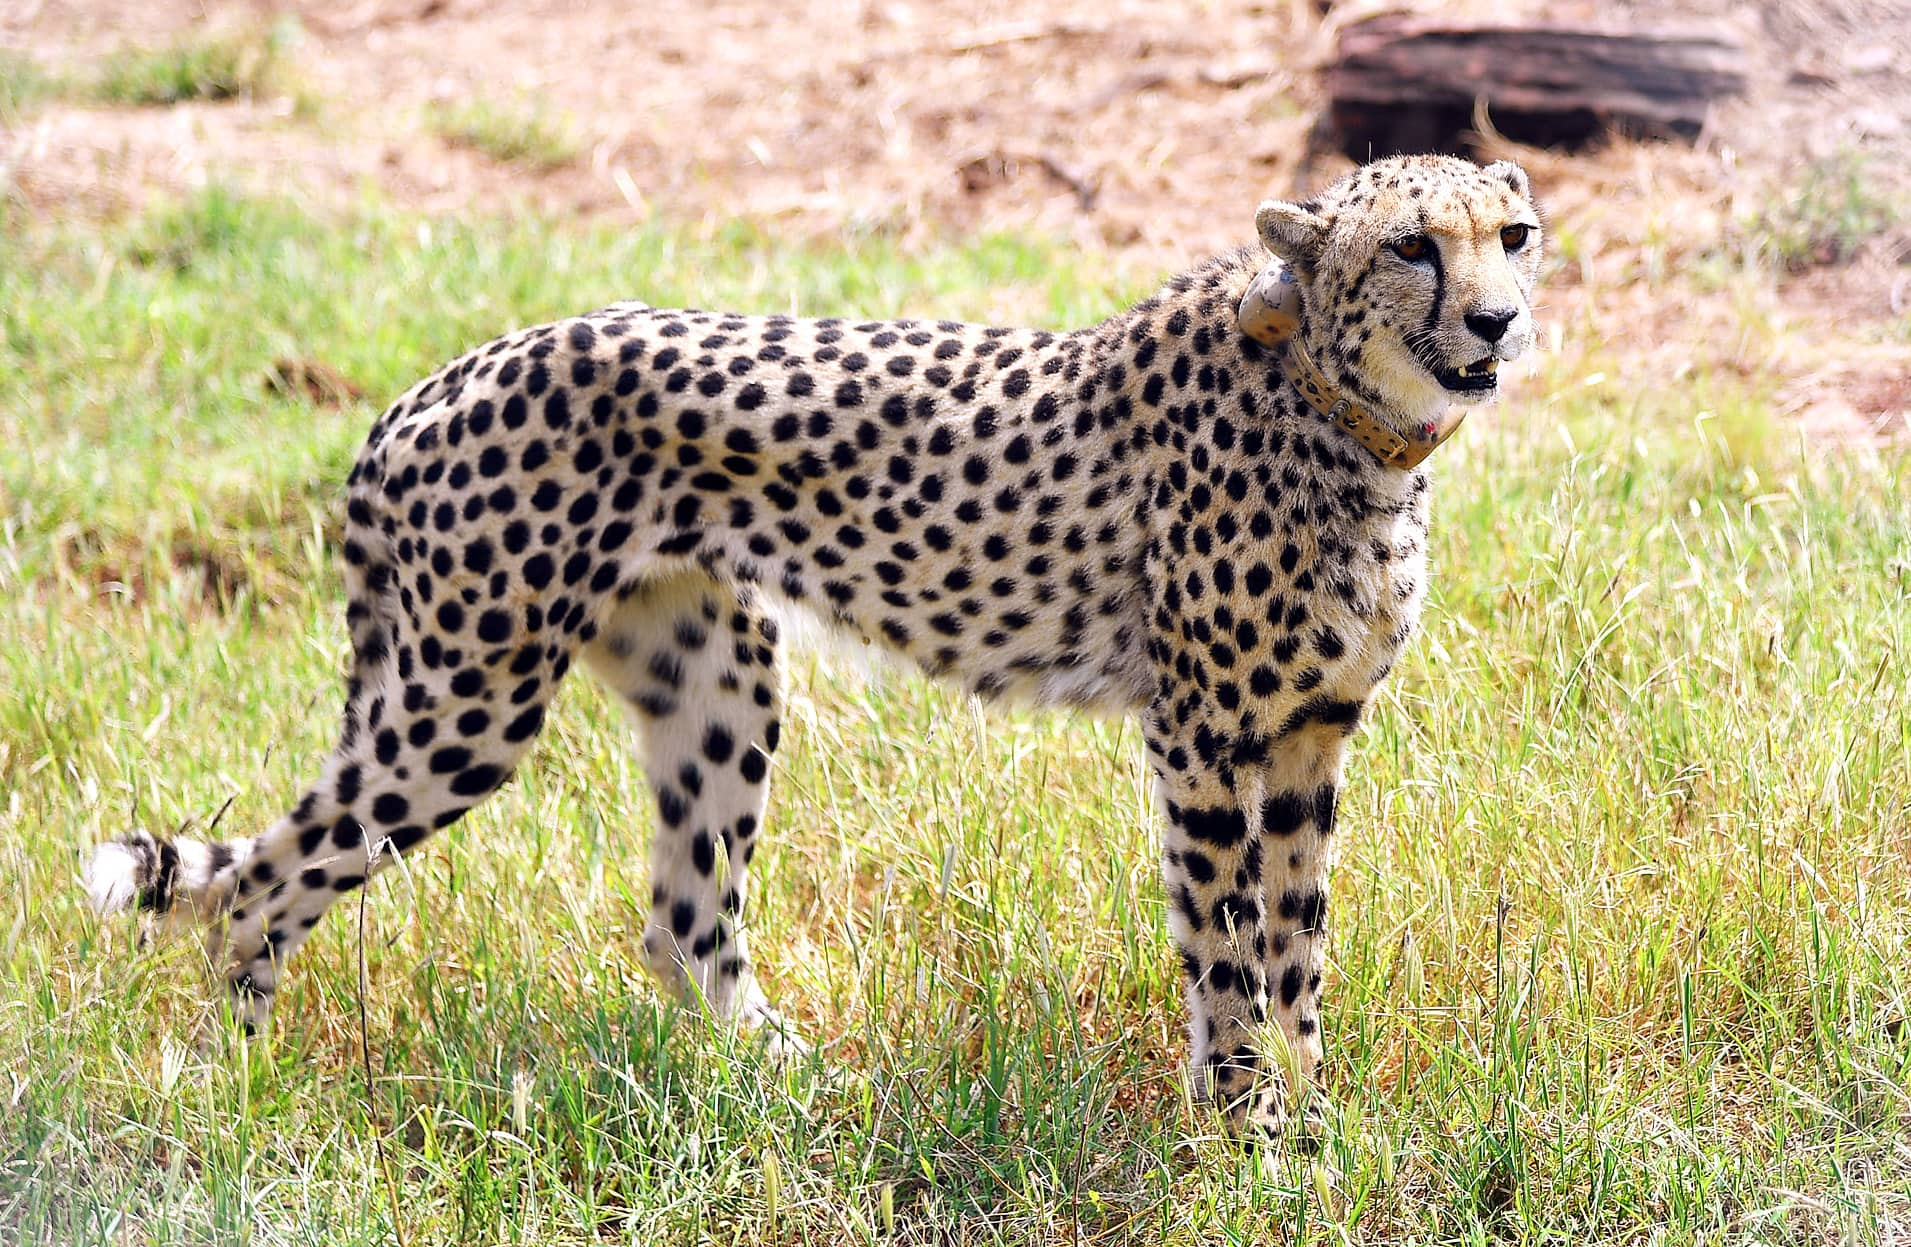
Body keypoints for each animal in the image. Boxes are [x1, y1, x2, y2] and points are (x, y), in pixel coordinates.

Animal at [89, 152, 1544, 1138]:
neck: (1345, 413)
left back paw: (787, 1084)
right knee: (263, 880)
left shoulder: (1307, 734)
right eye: (1413, 246)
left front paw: (1314, 1119)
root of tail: (434, 380)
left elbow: (1299, 941)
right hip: (468, 697)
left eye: (1514, 236)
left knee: (682, 918)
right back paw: (242, 1085)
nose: (1497, 320)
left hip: (714, 675)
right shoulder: (1201, 735)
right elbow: (1226, 944)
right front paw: (1246, 1128)